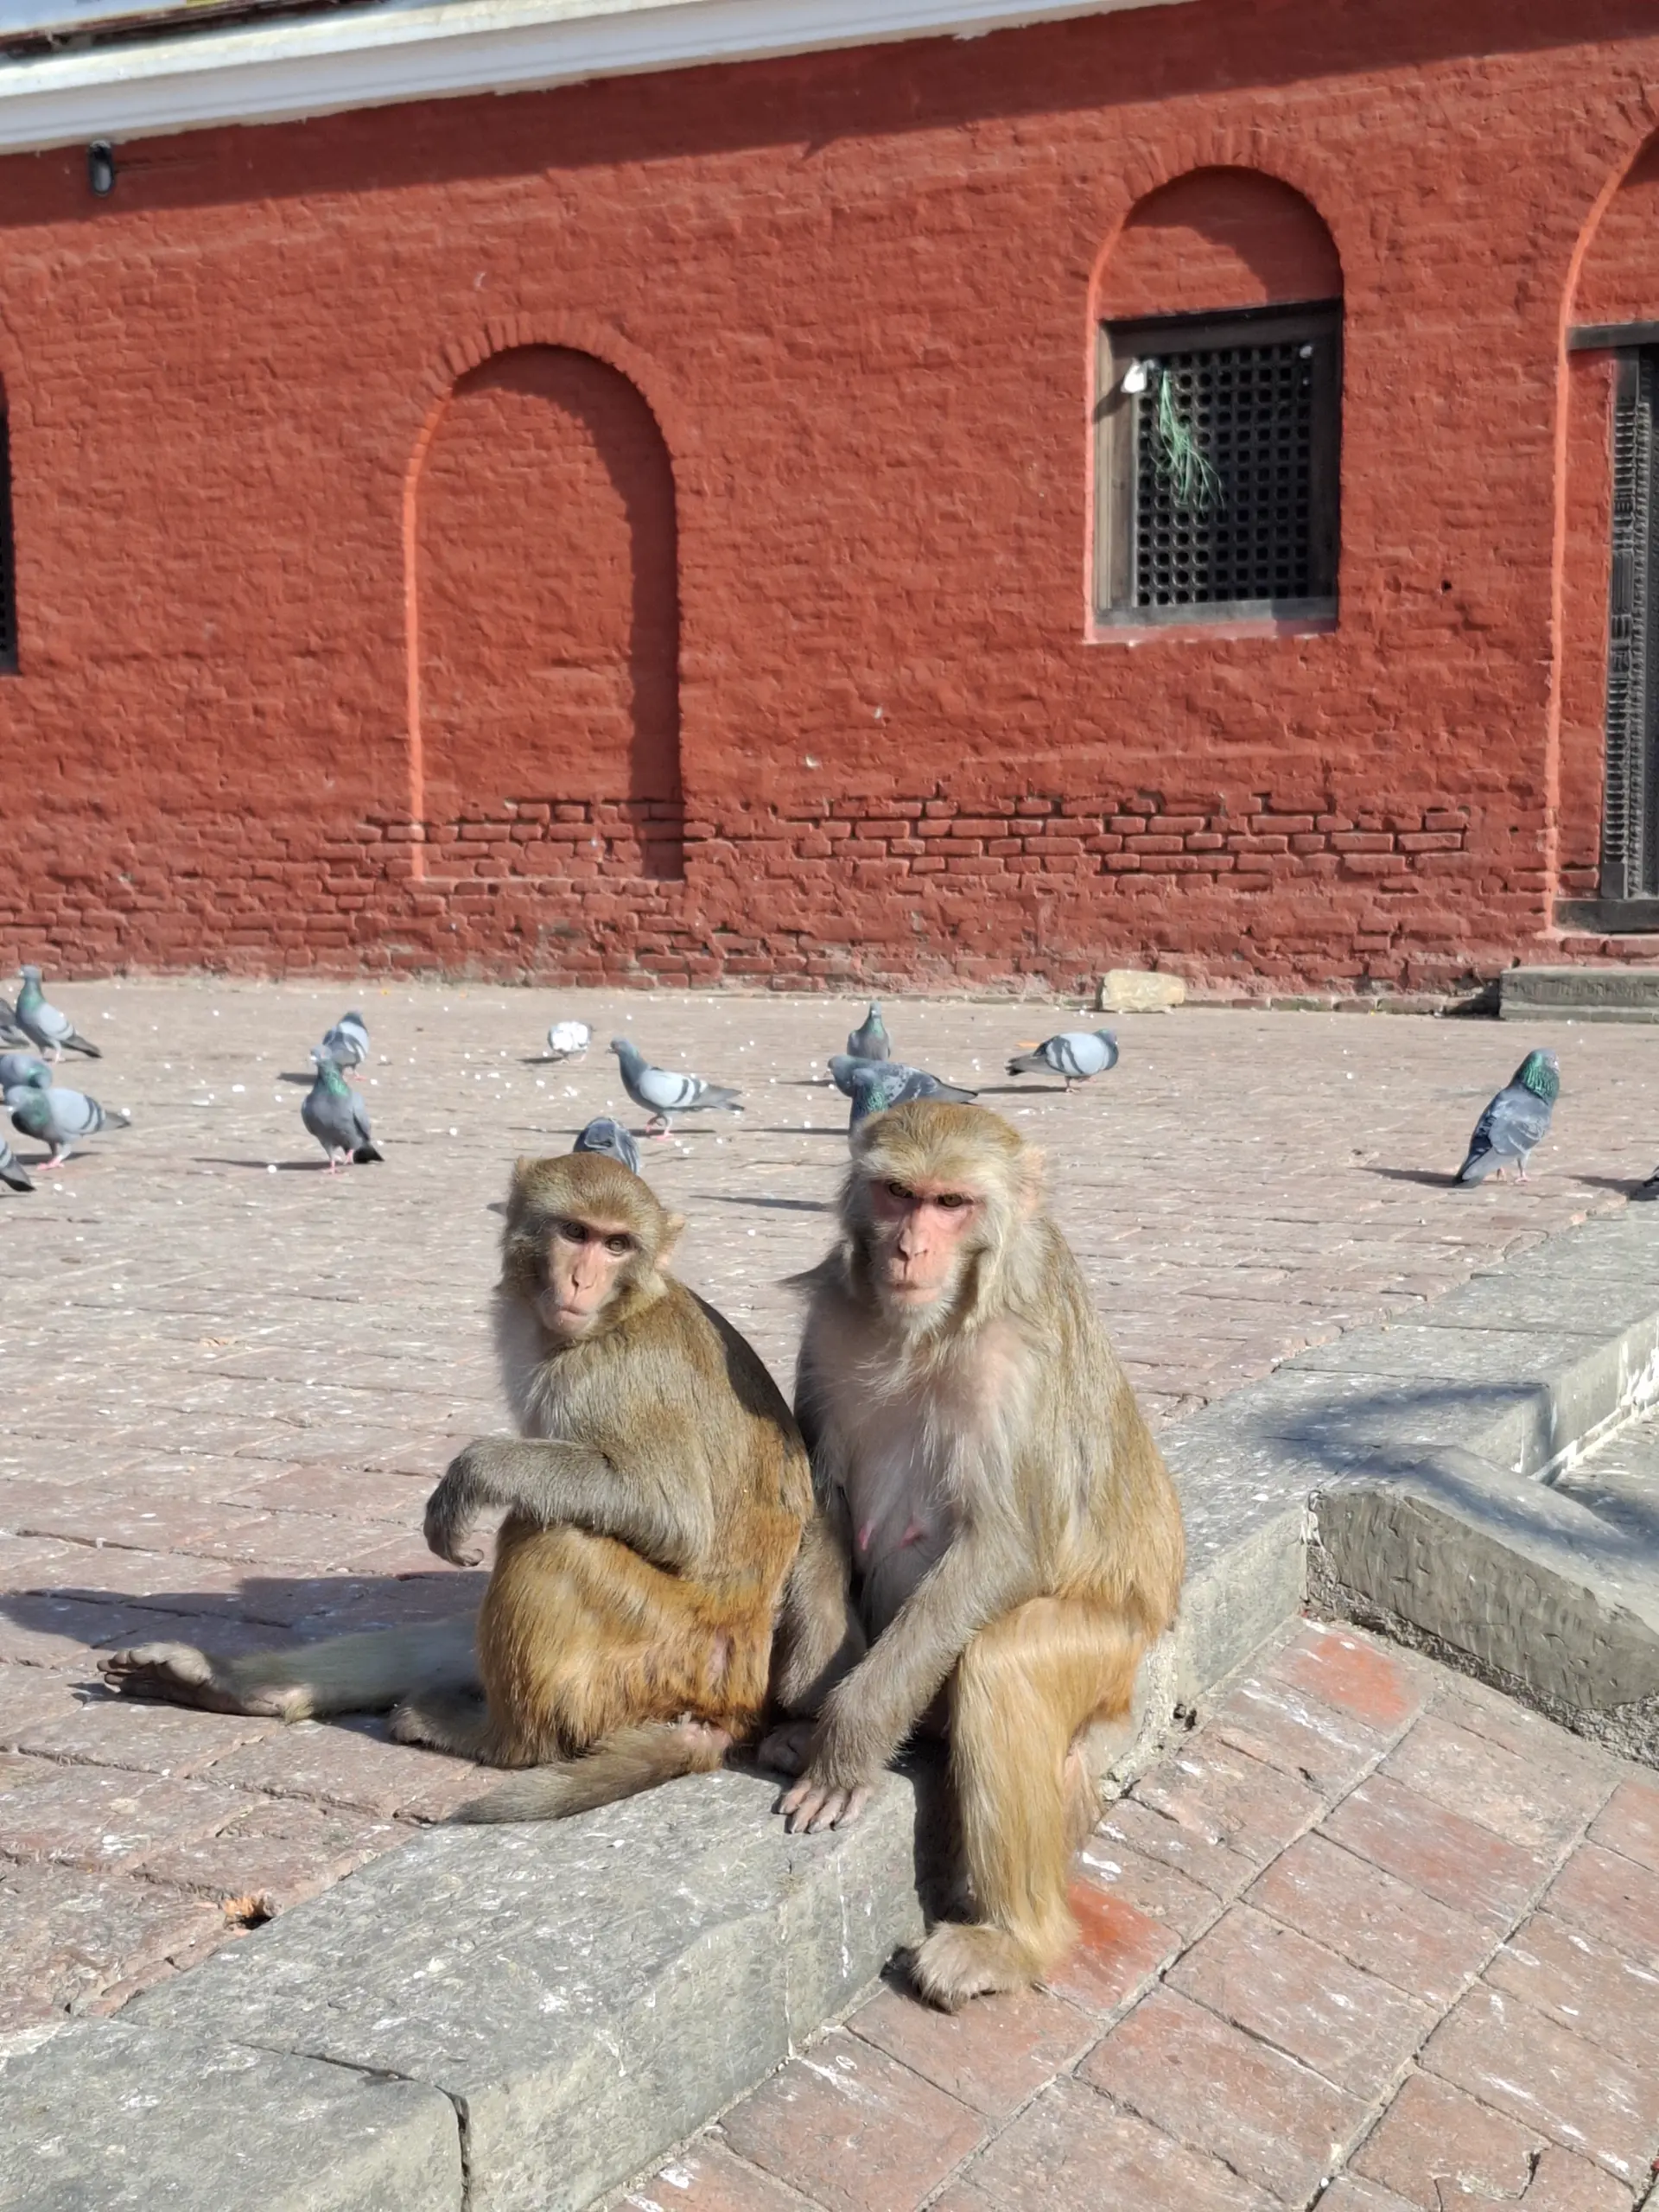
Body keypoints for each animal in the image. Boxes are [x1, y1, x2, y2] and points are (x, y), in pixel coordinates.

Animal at [102, 1154, 812, 1822]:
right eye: (575, 1232)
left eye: (617, 1244)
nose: (581, 1280)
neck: (615, 1315)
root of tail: (733, 1705)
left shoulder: (615, 1375)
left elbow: (671, 1515)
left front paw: (475, 1472)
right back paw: (233, 1686)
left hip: (666, 1658)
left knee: (549, 1533)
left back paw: (501, 1740)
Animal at [761, 1100, 1184, 2011]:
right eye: (898, 1194)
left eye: (952, 1202)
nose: (907, 1250)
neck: (929, 1329)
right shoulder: (833, 1321)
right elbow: (821, 1493)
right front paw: (811, 1696)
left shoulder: (1016, 1364)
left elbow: (1005, 1545)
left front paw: (847, 1738)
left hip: (1110, 1659)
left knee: (1005, 1658)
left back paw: (1010, 1944)